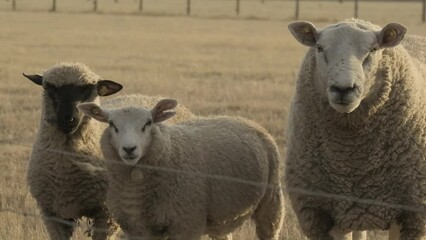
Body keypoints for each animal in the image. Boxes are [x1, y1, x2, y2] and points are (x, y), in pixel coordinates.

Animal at [78, 98, 284, 240]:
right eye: (112, 124)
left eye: (148, 123)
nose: (129, 149)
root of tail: (244, 120)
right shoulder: (137, 228)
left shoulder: (186, 224)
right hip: (221, 218)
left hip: (271, 204)